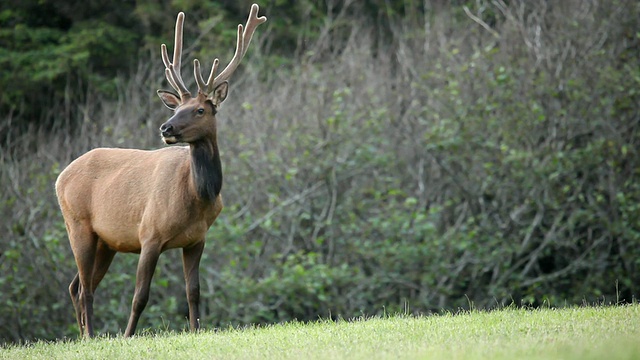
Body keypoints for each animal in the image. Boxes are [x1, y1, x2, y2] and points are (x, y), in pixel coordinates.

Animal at [53, 3, 266, 338]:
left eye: (200, 109)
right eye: (176, 108)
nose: (166, 128)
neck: (197, 196)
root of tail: (60, 177)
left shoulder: (196, 240)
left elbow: (193, 291)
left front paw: (195, 331)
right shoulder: (149, 234)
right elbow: (140, 295)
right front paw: (127, 335)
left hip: (106, 241)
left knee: (76, 285)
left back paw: (85, 336)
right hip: (77, 224)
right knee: (85, 287)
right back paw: (90, 335)